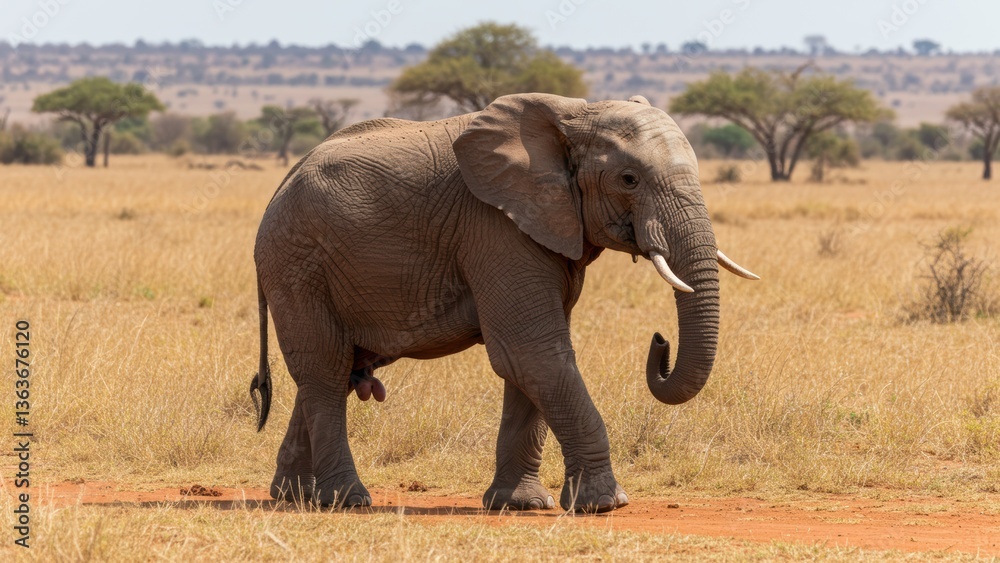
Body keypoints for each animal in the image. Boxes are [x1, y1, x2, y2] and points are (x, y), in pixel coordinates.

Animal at [249, 93, 758, 513]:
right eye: (629, 179)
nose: (659, 342)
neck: (574, 114)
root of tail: (278, 188)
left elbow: (529, 365)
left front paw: (521, 505)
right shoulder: (495, 228)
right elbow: (532, 353)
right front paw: (604, 504)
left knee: (331, 371)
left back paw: (293, 495)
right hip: (295, 264)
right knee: (325, 369)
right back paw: (346, 500)